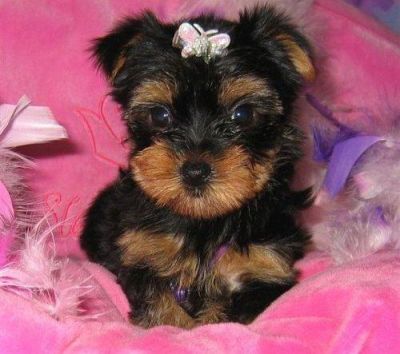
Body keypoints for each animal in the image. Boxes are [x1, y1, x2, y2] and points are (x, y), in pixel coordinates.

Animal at [79, 4, 314, 330]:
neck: (205, 221)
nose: (195, 171)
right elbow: (158, 298)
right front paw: (173, 324)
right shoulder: (141, 252)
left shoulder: (266, 267)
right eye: (160, 115)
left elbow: (225, 312)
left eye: (243, 114)